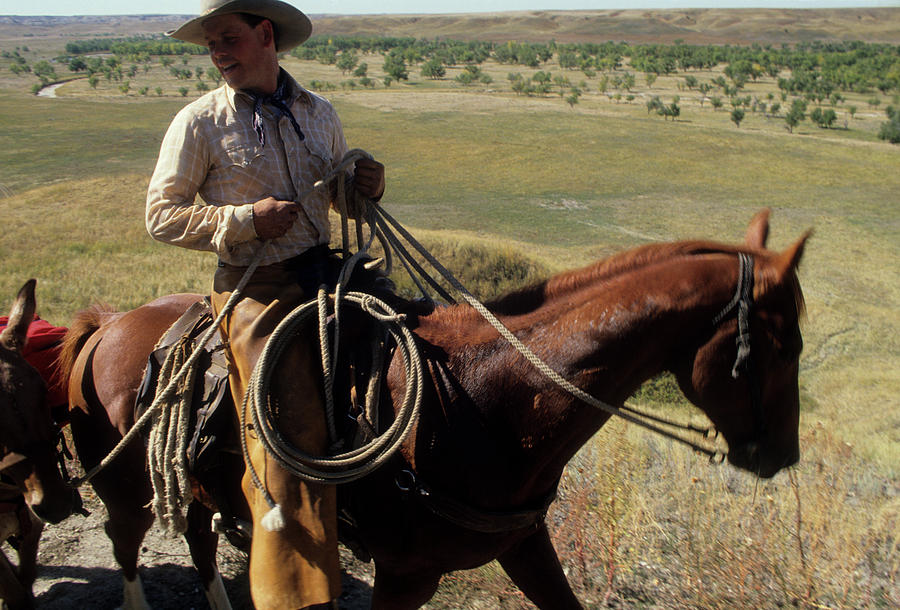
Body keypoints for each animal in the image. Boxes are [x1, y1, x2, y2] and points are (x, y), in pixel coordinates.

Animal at [58, 208, 808, 604]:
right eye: (787, 345)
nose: (782, 455)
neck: (488, 399)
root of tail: (110, 323)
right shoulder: (405, 573)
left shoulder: (524, 544)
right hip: (123, 483)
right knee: (126, 542)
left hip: (197, 485)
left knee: (199, 536)